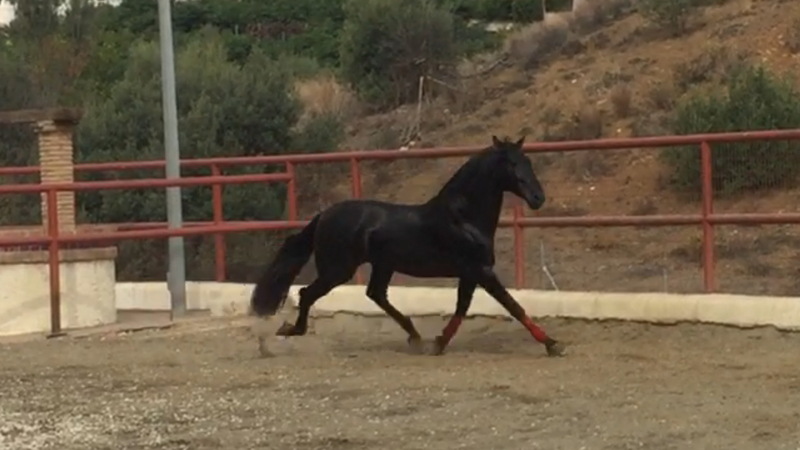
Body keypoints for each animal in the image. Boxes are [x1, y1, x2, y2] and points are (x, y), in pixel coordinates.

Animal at [250, 135, 565, 357]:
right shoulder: (481, 271)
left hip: (381, 265)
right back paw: (289, 330)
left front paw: (438, 343)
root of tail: (324, 215)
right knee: (307, 293)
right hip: (338, 269)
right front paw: (553, 344)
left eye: (528, 162)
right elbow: (512, 305)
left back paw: (414, 336)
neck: (464, 218)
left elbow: (462, 308)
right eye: (511, 164)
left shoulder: (470, 273)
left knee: (376, 294)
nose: (538, 198)